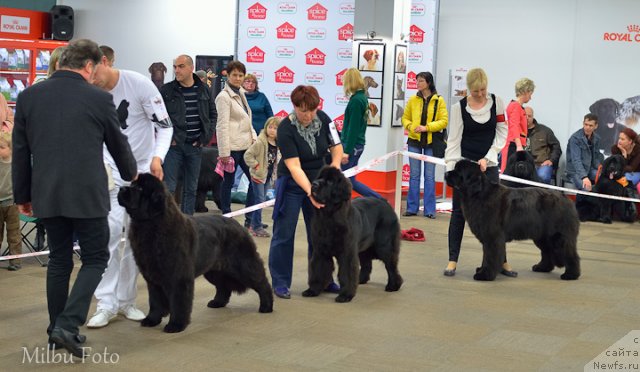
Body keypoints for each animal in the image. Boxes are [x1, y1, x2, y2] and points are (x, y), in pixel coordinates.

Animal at [117, 173, 272, 332]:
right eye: (133, 184)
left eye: (140, 188)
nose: (121, 188)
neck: (152, 226)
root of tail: (239, 225)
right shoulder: (152, 276)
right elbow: (155, 300)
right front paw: (152, 319)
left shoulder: (179, 277)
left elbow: (178, 302)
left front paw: (175, 325)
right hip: (214, 270)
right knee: (223, 286)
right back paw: (217, 302)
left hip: (243, 265)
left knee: (262, 282)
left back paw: (266, 306)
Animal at [302, 166, 402, 302]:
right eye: (320, 177)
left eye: (330, 182)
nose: (314, 184)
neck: (328, 216)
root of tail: (386, 203)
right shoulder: (320, 251)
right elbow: (318, 270)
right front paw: (313, 290)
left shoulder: (347, 252)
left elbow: (347, 272)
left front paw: (345, 295)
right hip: (363, 246)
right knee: (366, 263)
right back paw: (360, 280)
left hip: (384, 246)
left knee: (391, 265)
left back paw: (393, 285)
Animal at [444, 160, 580, 280]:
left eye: (459, 171)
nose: (446, 174)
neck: (479, 194)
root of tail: (567, 199)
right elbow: (486, 255)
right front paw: (482, 270)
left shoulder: (492, 237)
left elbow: (490, 256)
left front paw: (485, 275)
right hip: (542, 236)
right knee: (547, 251)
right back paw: (542, 268)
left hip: (558, 236)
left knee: (569, 253)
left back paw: (571, 275)